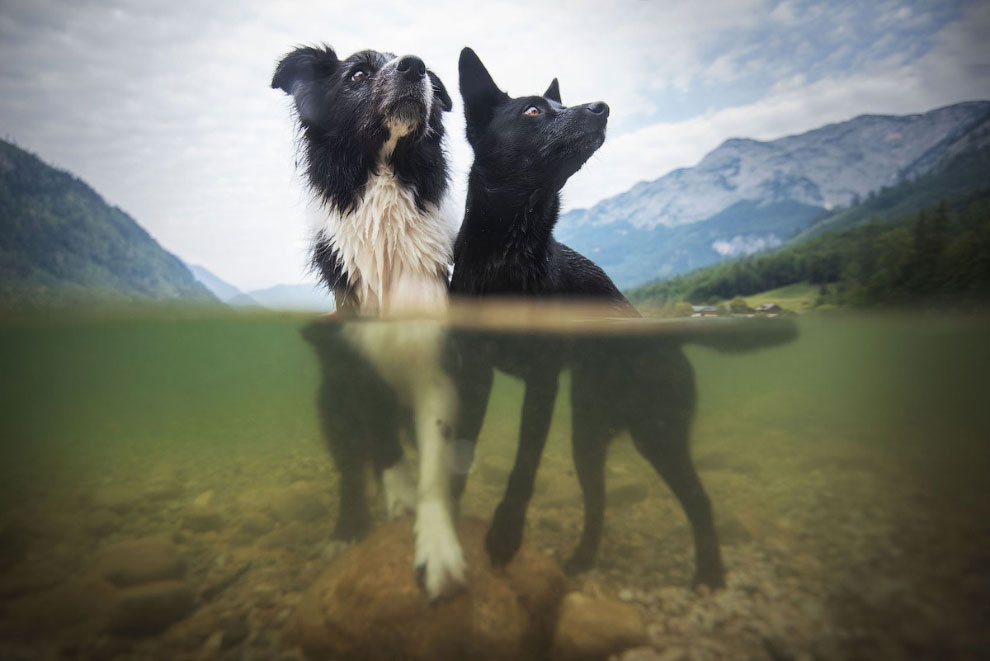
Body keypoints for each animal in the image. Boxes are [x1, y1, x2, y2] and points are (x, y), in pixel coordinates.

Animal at [272, 45, 468, 600]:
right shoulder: (353, 366)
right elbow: (382, 443)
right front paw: (398, 495)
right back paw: (346, 529)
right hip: (332, 409)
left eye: (430, 78)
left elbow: (434, 463)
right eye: (357, 74)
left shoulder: (438, 363)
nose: (415, 65)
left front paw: (437, 548)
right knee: (349, 475)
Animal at [454, 49, 732, 592]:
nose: (602, 106)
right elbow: (460, 452)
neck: (508, 256)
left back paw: (709, 572)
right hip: (588, 437)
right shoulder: (473, 372)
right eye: (534, 110)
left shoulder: (542, 380)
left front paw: (504, 536)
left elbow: (524, 463)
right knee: (598, 505)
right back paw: (581, 561)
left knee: (699, 499)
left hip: (658, 434)